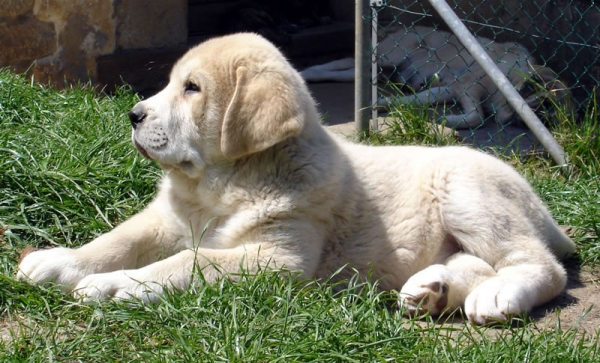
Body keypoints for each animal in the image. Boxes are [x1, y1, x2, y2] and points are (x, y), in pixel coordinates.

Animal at [16, 34, 576, 326]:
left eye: (192, 88)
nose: (132, 115)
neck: (219, 188)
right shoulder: (165, 219)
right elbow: (118, 240)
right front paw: (59, 262)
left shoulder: (277, 256)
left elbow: (185, 263)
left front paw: (113, 286)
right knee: (473, 262)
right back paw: (430, 290)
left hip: (467, 192)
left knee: (540, 266)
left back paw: (499, 296)